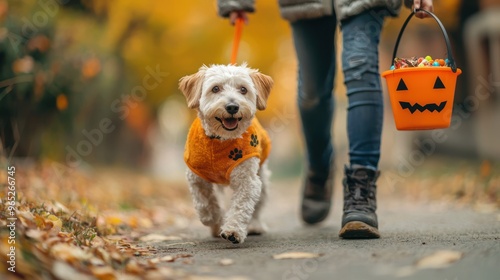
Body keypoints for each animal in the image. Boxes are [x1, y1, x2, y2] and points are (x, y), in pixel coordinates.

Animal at [179, 63, 274, 243]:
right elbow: (204, 203)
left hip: (263, 178)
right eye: (215, 88)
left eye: (243, 89)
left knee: (258, 205)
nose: (232, 107)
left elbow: (241, 205)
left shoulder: (247, 180)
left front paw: (233, 230)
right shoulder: (196, 177)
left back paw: (255, 226)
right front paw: (214, 218)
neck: (221, 141)